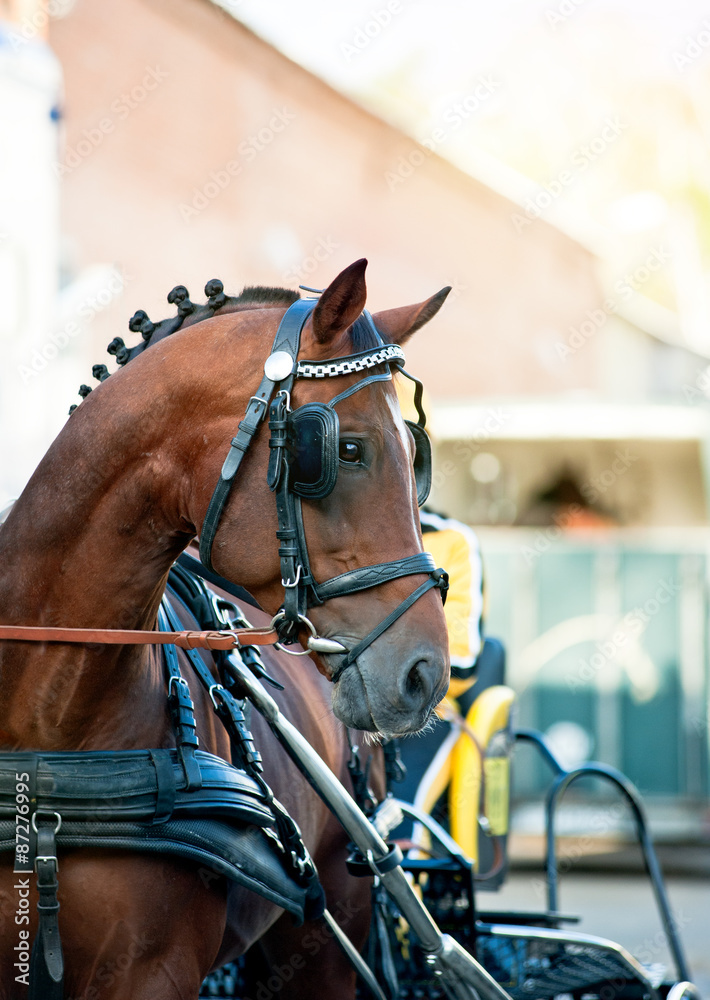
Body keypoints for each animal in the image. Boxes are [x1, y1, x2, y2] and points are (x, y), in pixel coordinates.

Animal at [0, 258, 451, 999]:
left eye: (417, 457)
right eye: (346, 449)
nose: (426, 674)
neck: (47, 721)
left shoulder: (153, 974)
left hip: (326, 939)